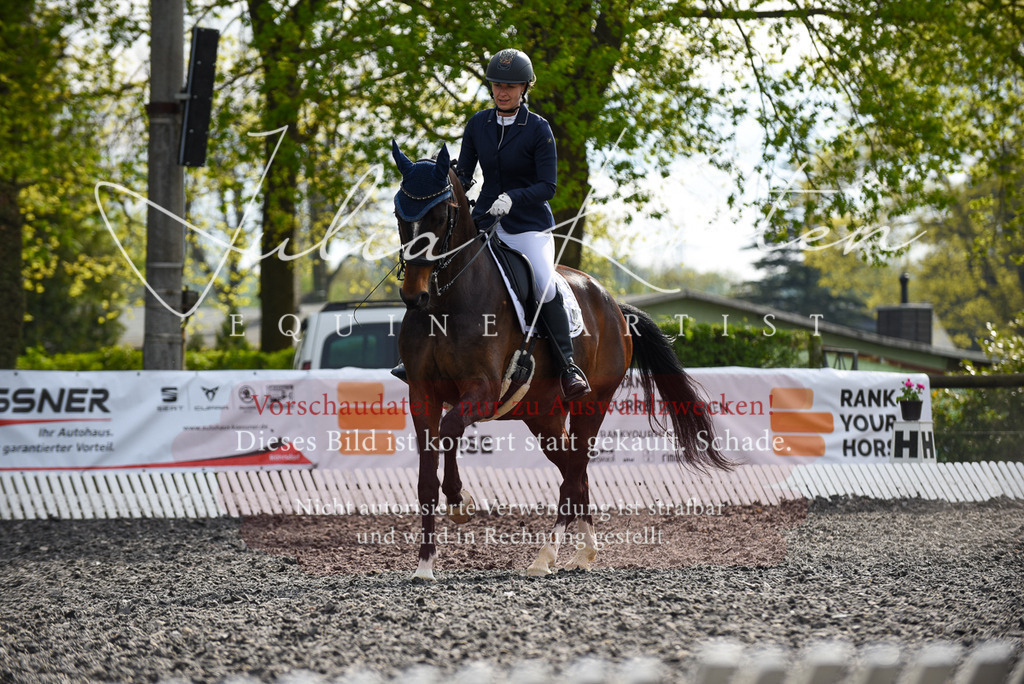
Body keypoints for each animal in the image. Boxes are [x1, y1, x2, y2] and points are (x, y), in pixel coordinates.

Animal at [390, 141, 731, 580]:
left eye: (440, 214)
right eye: (400, 213)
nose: (414, 295)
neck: (446, 301)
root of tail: (615, 306)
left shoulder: (482, 390)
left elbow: (450, 431)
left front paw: (459, 501)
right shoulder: (422, 394)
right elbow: (425, 478)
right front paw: (425, 566)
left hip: (592, 403)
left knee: (573, 473)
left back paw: (545, 556)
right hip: (544, 415)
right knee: (574, 469)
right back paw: (584, 553)